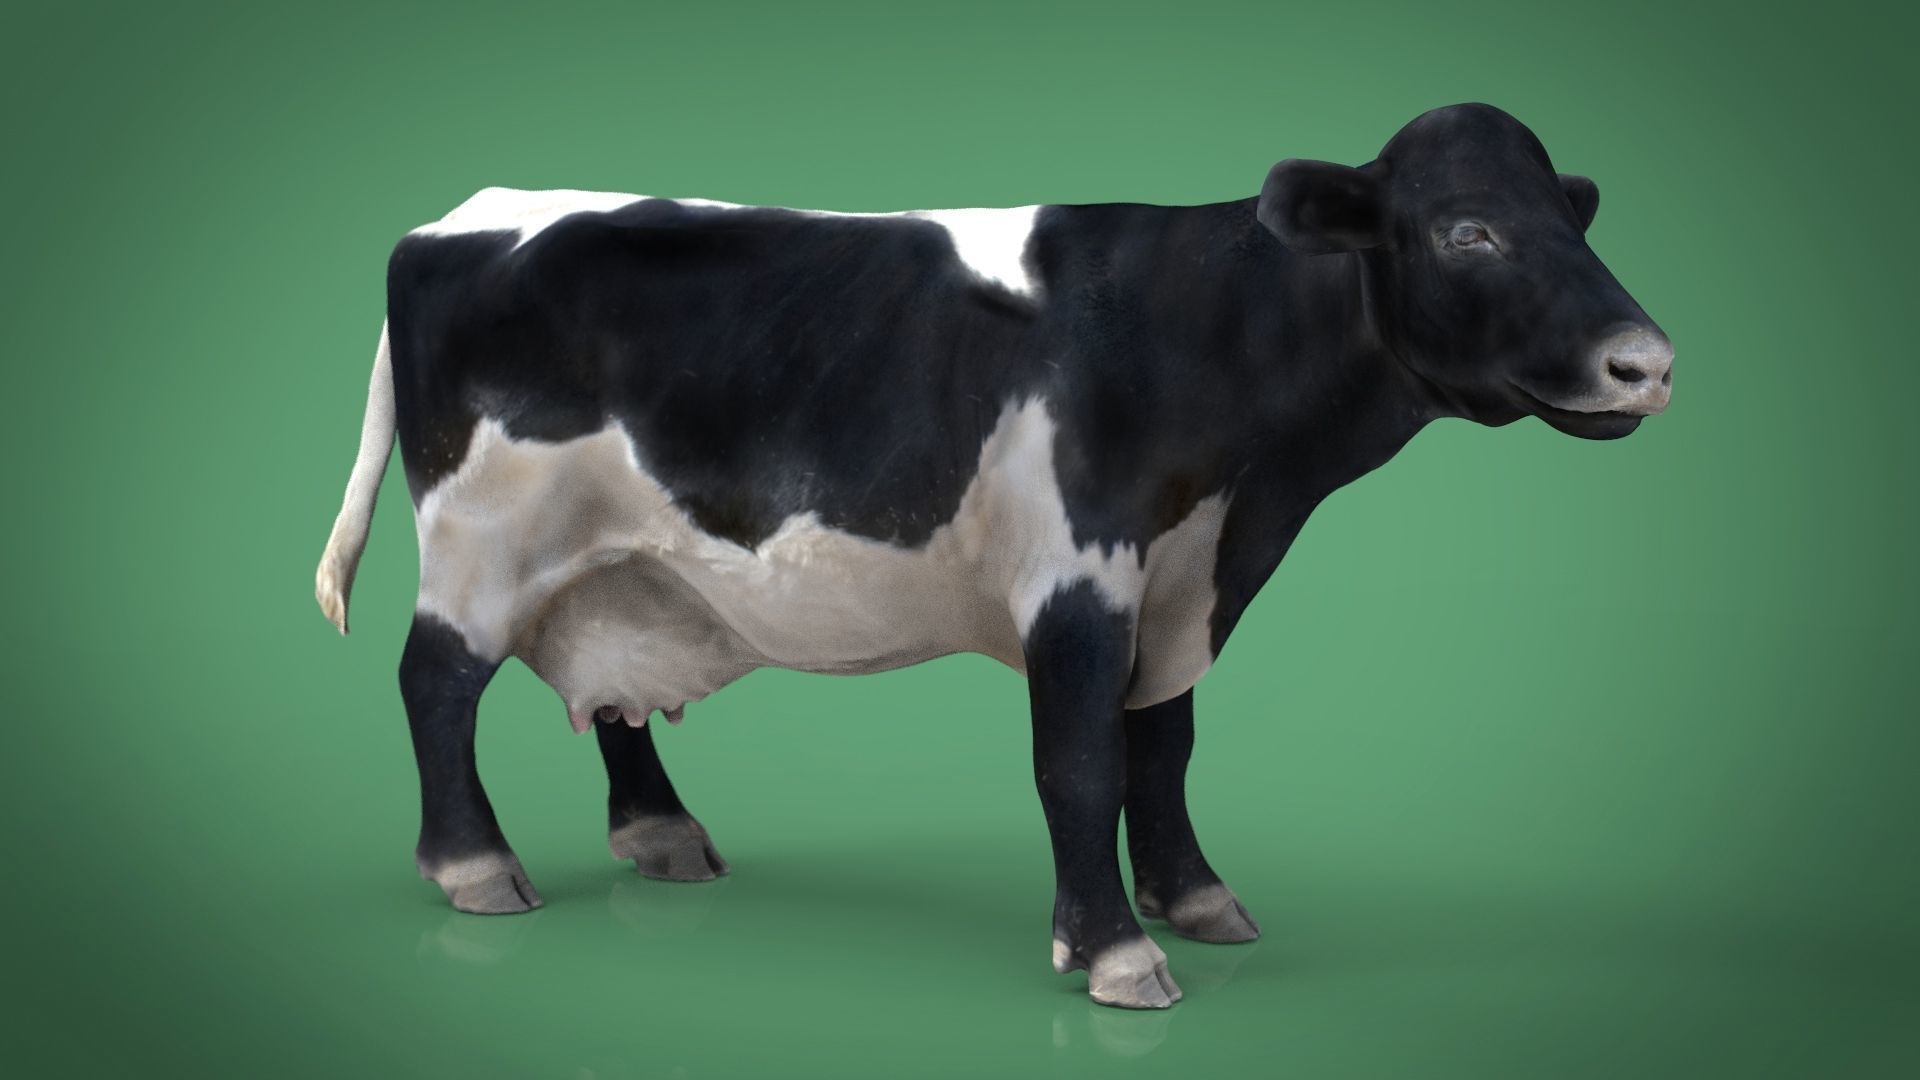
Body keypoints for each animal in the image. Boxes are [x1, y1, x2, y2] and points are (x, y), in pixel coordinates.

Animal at [314, 103, 1672, 1009]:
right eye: (1468, 230)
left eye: (1571, 219)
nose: (1646, 361)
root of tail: (464, 216)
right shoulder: (1077, 579)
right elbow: (1081, 768)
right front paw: (1116, 948)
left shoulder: (1178, 587)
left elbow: (1164, 751)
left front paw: (1195, 897)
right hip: (484, 546)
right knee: (434, 681)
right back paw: (477, 864)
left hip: (623, 559)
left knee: (611, 690)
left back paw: (661, 834)